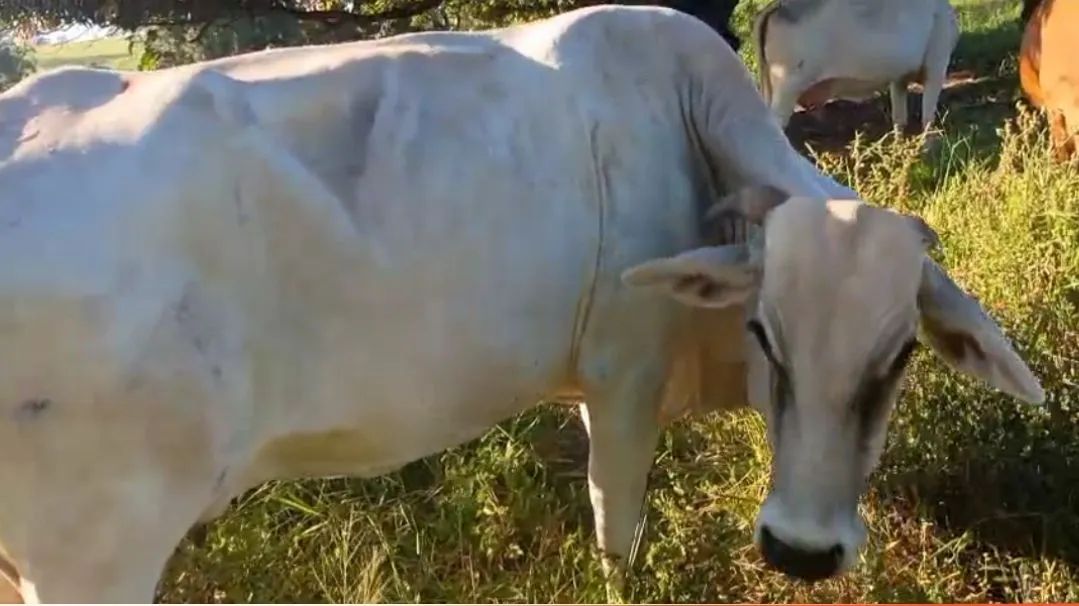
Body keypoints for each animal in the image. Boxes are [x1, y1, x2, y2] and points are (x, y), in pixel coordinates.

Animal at [752, 0, 960, 133]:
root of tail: (778, 7)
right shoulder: (936, 67)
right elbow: (927, 118)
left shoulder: (899, 78)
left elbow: (899, 119)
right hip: (788, 87)